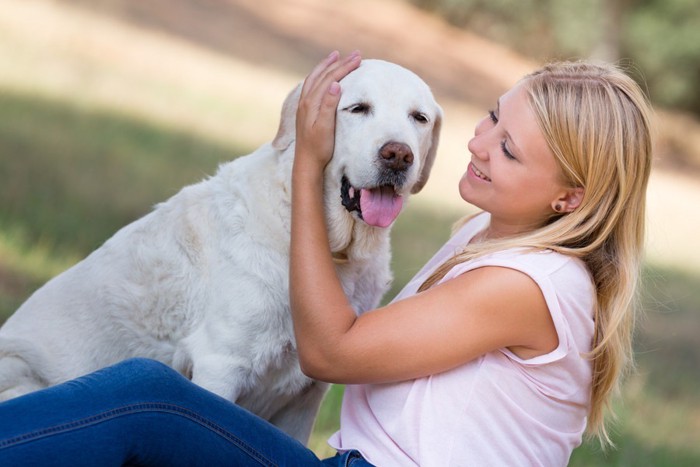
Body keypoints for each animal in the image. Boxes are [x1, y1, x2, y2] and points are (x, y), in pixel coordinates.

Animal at [0, 60, 440, 444]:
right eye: (358, 109)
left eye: (418, 118)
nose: (398, 155)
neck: (330, 248)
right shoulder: (221, 365)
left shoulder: (308, 395)